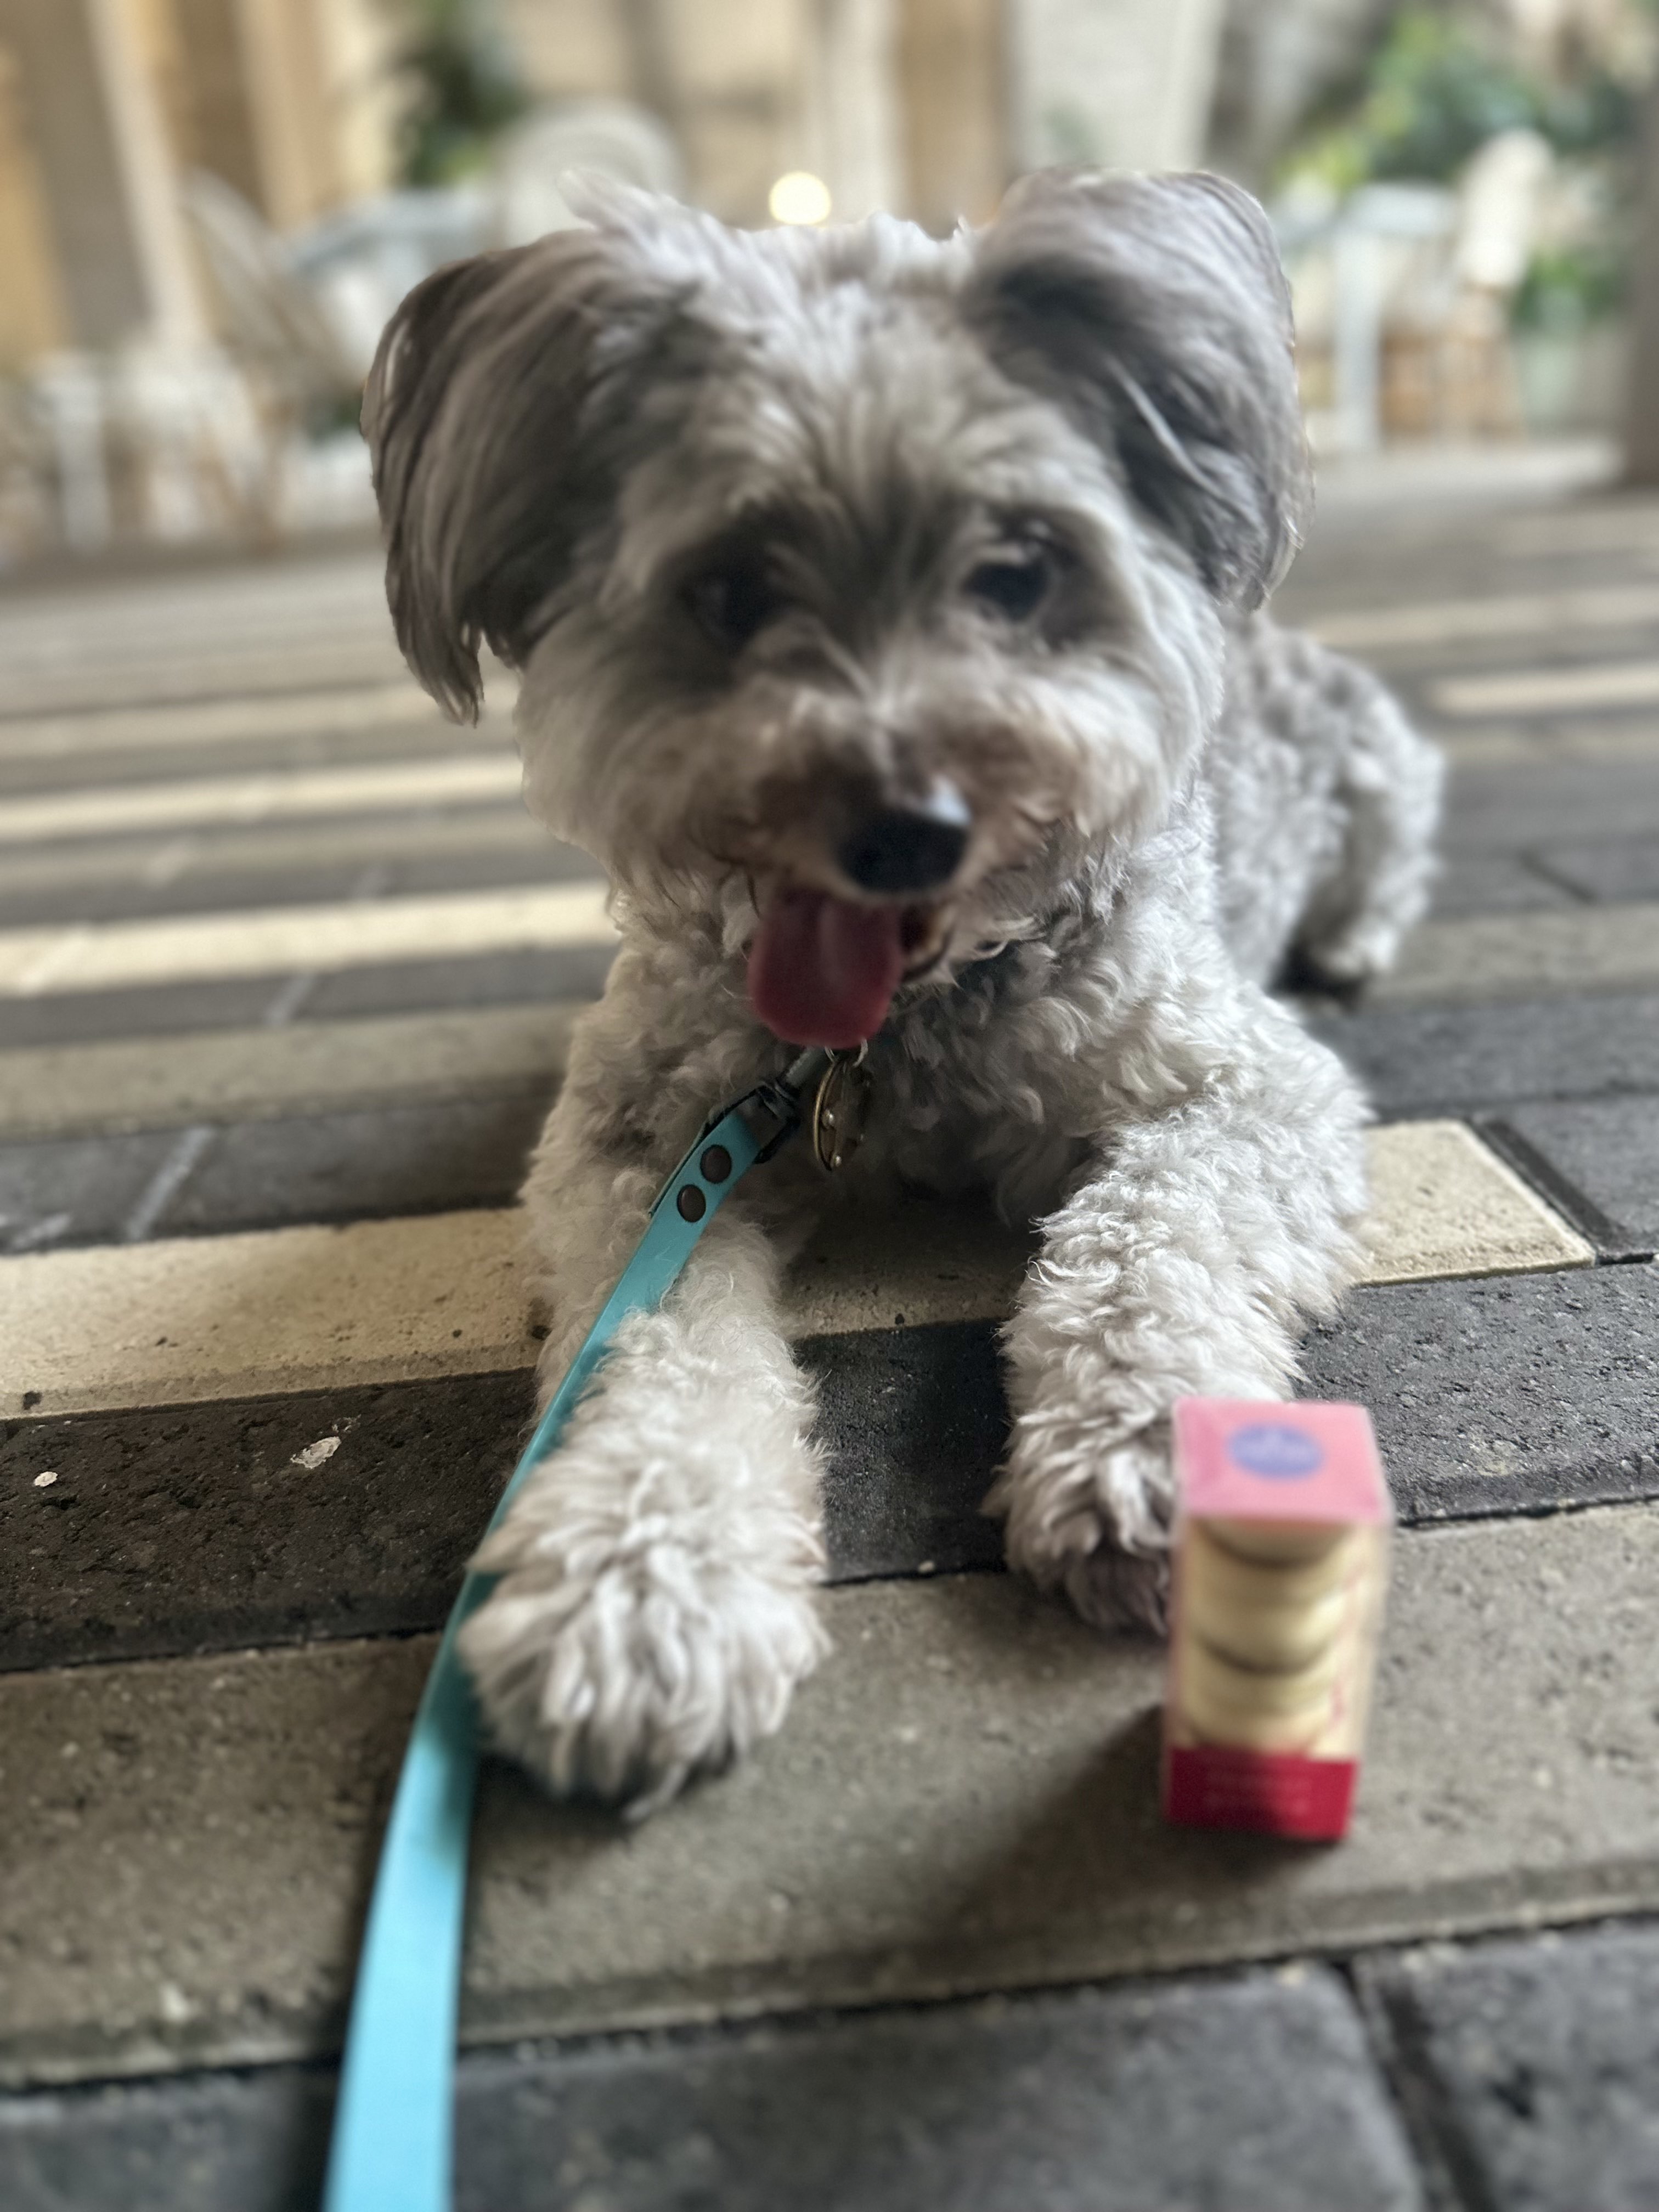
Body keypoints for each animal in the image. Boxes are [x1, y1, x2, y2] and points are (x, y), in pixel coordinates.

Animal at [363, 168, 1442, 1796]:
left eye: (1019, 571)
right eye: (732, 590)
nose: (902, 827)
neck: (903, 1036)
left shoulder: (1242, 1090)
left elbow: (1147, 1237)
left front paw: (1146, 1448)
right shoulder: (637, 1155)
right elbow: (656, 1346)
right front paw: (641, 1588)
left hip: (1380, 776)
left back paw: (1359, 941)